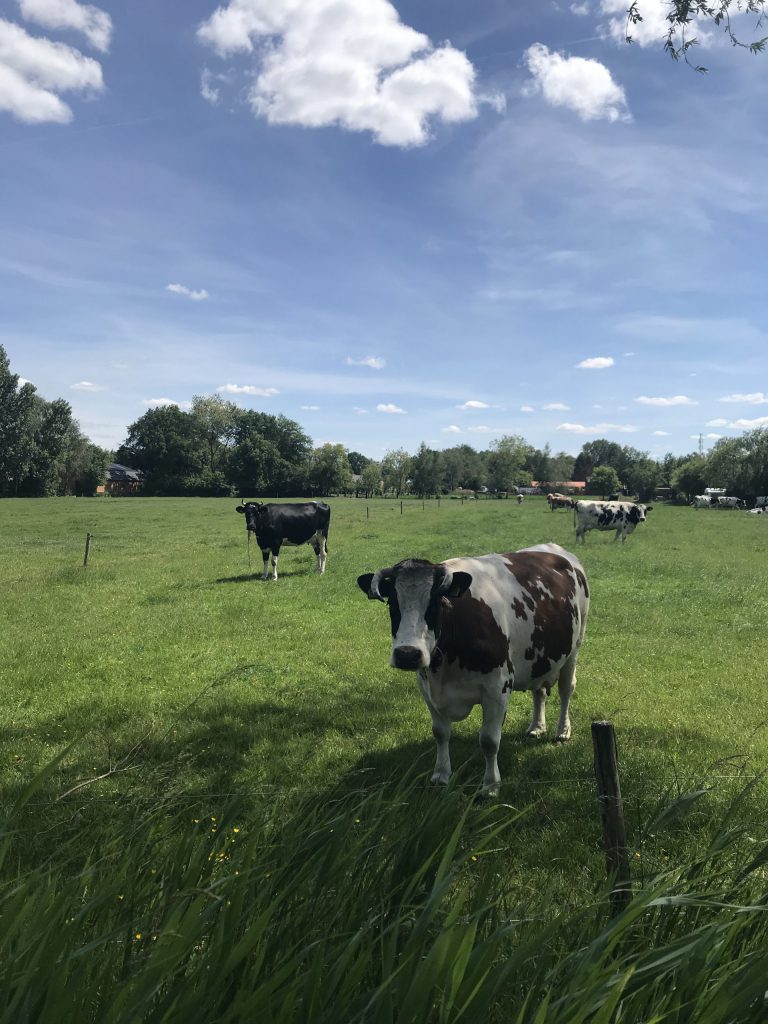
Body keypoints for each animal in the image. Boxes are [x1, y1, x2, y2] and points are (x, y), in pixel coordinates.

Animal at [358, 540, 593, 794]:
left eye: (434, 604)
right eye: (392, 603)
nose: (407, 654)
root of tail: (556, 549)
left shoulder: (497, 688)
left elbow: (489, 741)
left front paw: (490, 785)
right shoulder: (426, 686)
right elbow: (440, 733)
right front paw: (441, 775)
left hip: (574, 648)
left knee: (566, 690)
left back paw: (562, 731)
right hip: (539, 657)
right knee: (538, 690)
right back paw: (536, 727)